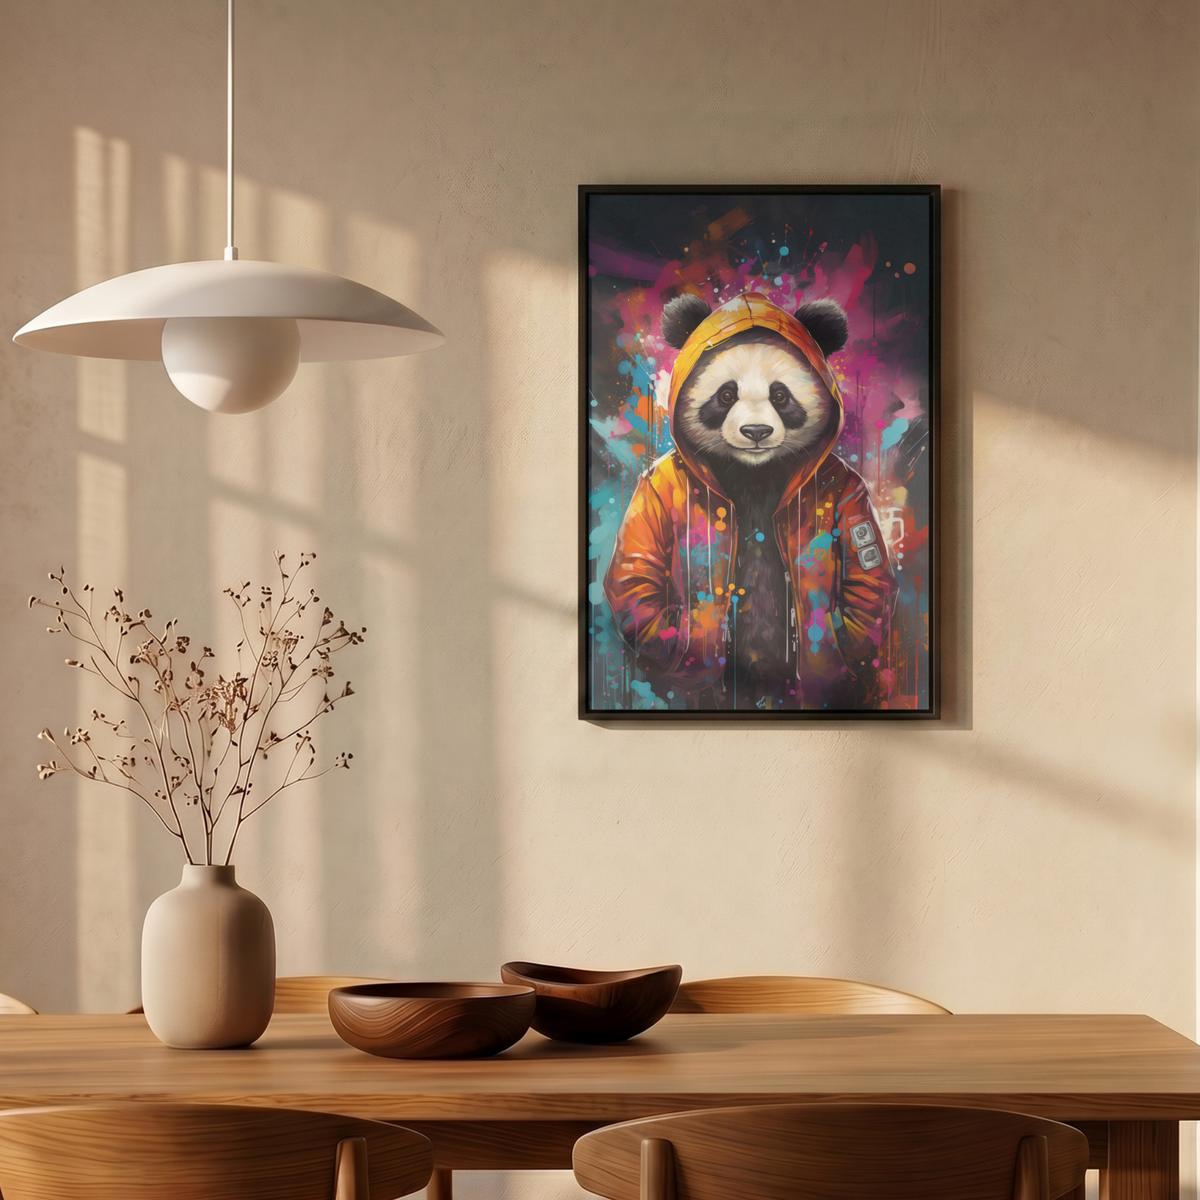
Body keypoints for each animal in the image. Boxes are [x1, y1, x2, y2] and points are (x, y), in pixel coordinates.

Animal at [604, 290, 898, 711]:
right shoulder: (656, 486)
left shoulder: (847, 486)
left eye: (781, 395)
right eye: (726, 395)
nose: (756, 431)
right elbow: (639, 573)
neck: (753, 472)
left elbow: (865, 580)